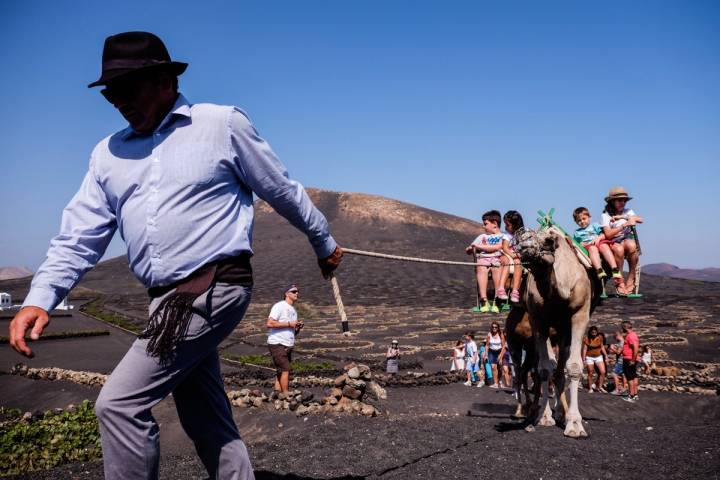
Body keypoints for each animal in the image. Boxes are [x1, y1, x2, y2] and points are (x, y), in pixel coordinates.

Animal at [516, 227, 600, 436]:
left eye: (547, 242)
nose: (524, 243)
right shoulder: (538, 319)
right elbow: (545, 368)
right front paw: (545, 417)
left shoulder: (580, 314)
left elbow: (575, 366)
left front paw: (575, 424)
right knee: (553, 366)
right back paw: (550, 414)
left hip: (565, 330)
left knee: (562, 367)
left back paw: (563, 413)